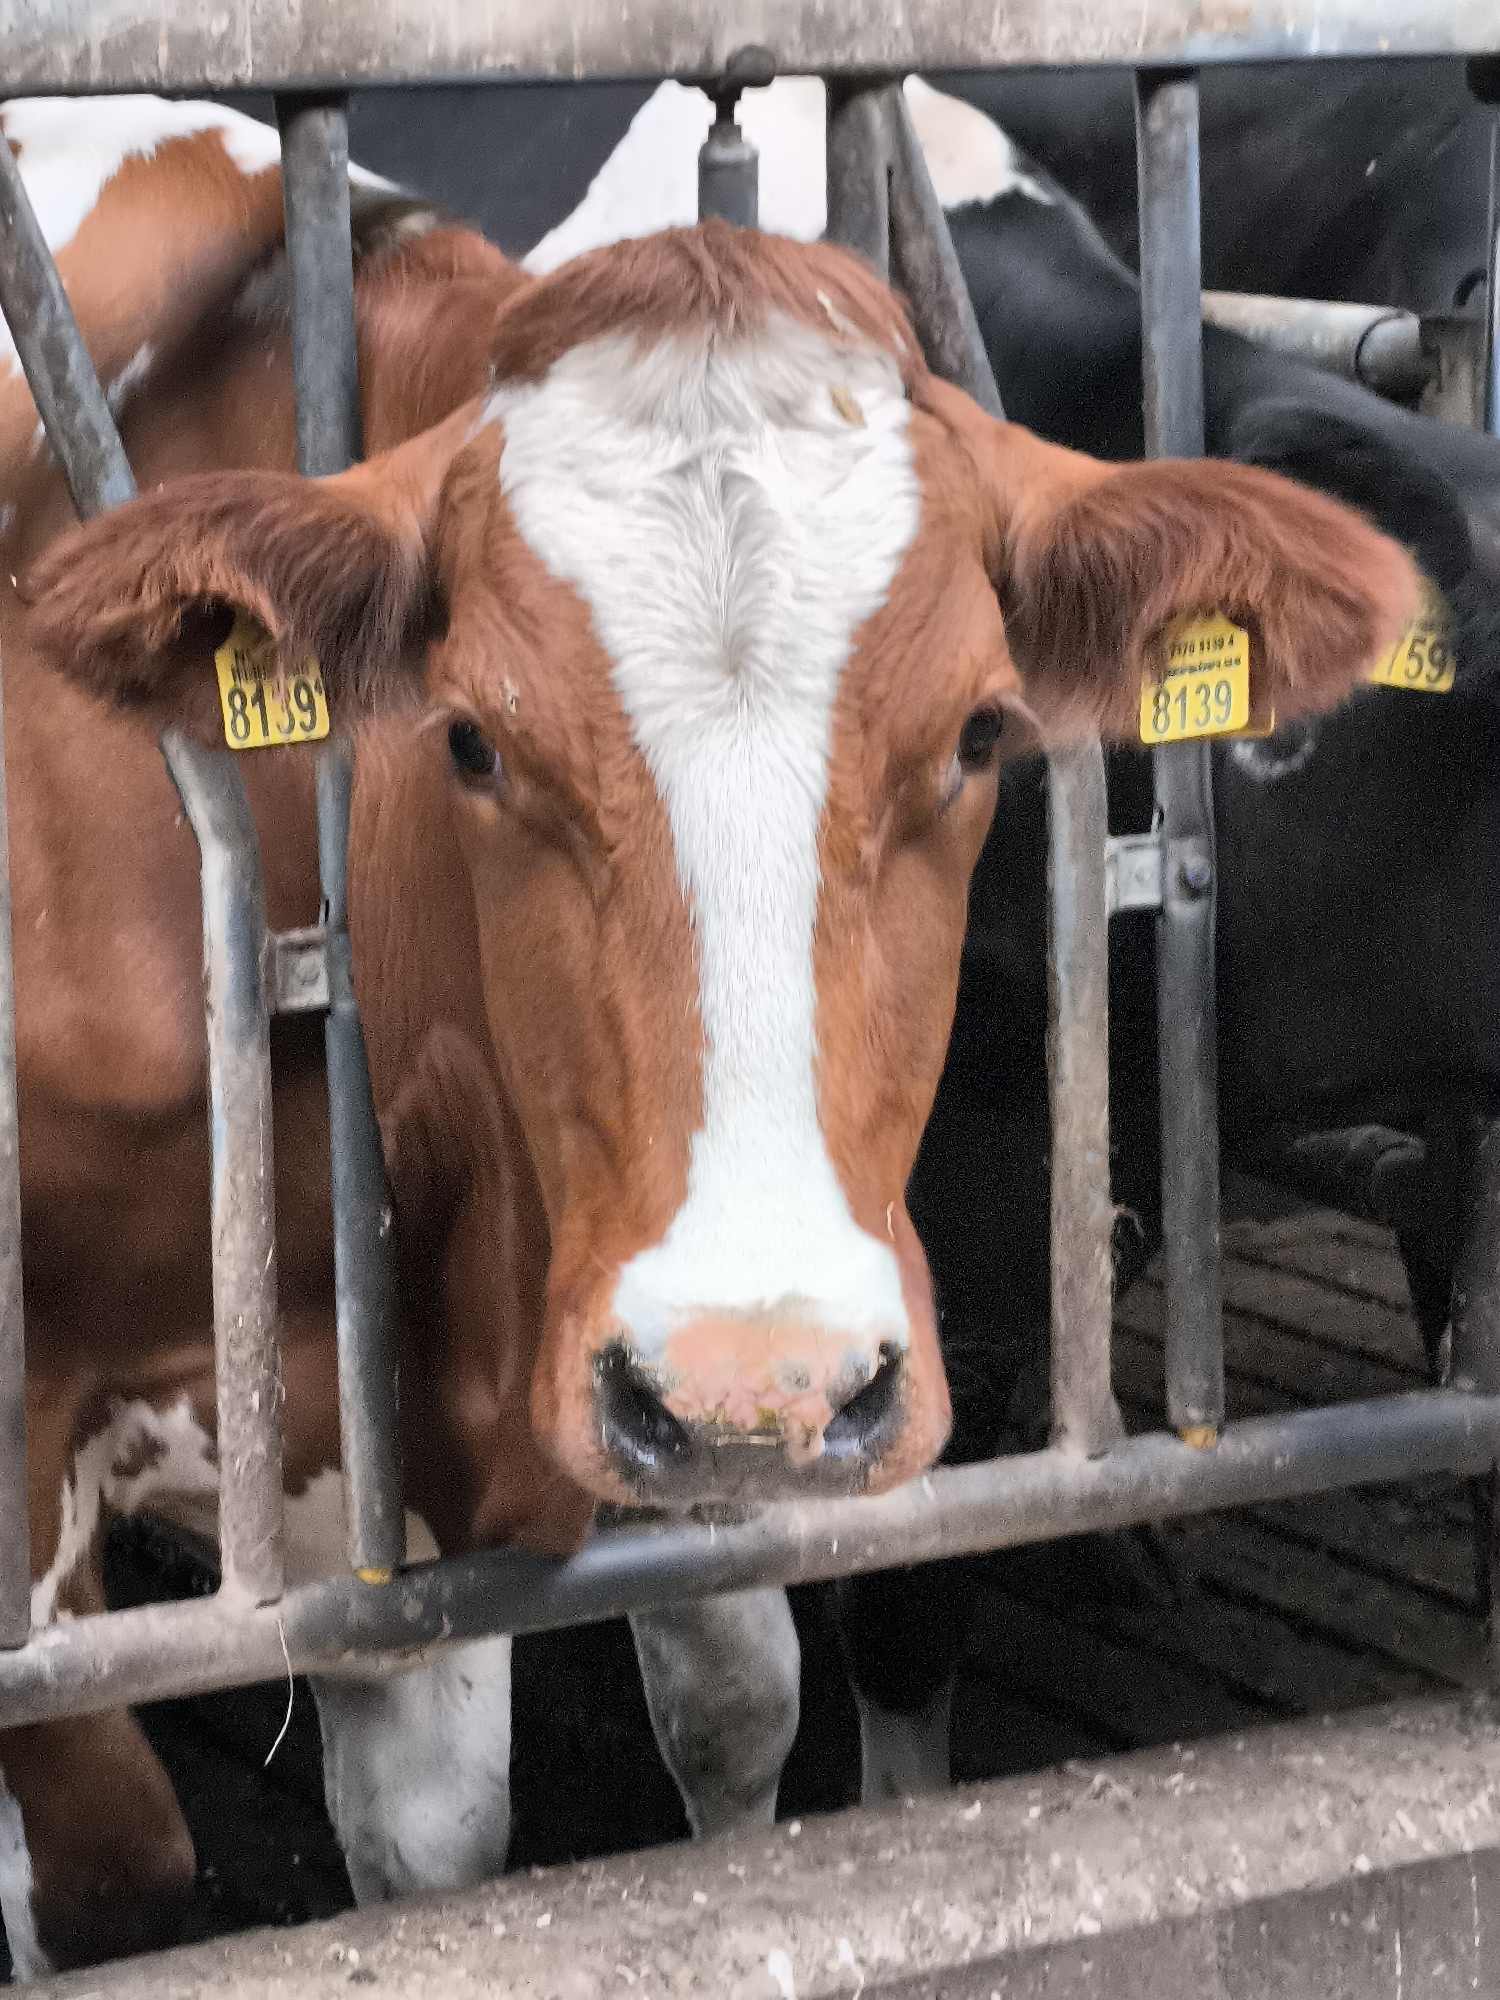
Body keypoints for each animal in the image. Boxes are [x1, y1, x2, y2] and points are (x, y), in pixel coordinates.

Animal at [0, 92, 1419, 1974]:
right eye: (472, 739)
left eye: (980, 733)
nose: (761, 1377)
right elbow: (103, 1860)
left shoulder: (414, 1460)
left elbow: (551, 1786)